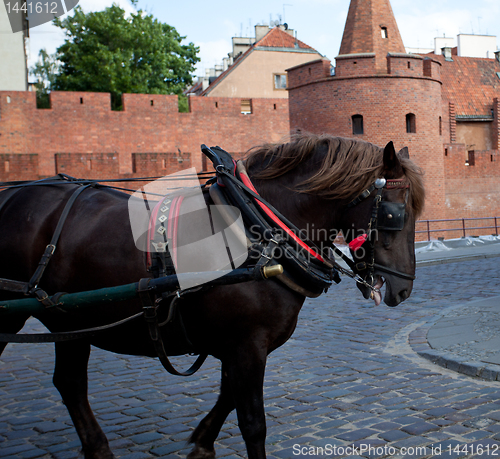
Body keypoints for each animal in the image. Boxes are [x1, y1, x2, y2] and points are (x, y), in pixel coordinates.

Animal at [0, 134, 422, 459]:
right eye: (394, 214)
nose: (403, 288)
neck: (258, 229)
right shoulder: (246, 345)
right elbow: (252, 422)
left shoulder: (238, 345)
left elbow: (227, 397)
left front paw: (202, 443)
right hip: (19, 315)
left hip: (68, 320)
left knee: (69, 383)